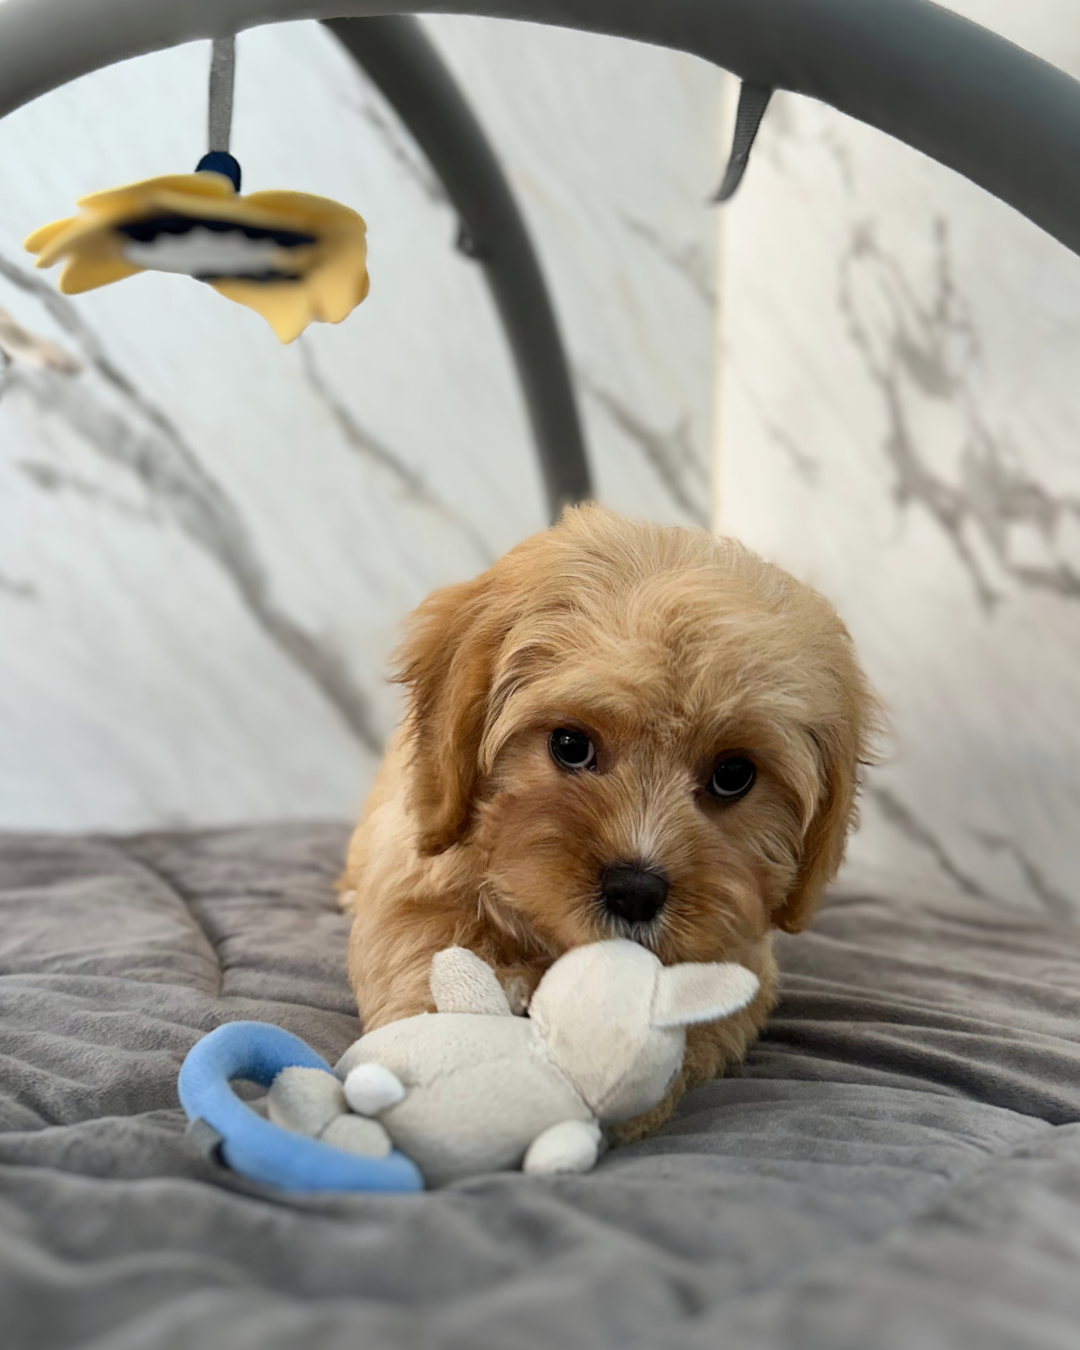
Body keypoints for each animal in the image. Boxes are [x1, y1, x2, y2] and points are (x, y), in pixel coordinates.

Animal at [341, 502, 880, 1134]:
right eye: (570, 744)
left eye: (733, 775)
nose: (635, 891)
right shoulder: (413, 893)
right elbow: (420, 962)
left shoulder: (739, 953)